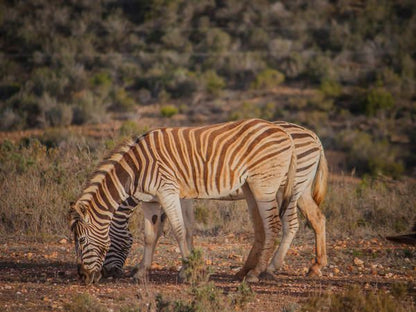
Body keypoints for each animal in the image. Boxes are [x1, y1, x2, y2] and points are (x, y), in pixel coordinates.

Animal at [69, 119, 296, 286]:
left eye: (81, 240)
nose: (83, 277)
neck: (135, 170)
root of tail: (283, 131)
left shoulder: (168, 191)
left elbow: (179, 230)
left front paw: (189, 271)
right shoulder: (151, 201)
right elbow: (151, 235)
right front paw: (142, 273)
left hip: (265, 186)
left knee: (275, 225)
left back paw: (257, 273)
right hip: (252, 187)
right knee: (264, 227)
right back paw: (249, 271)